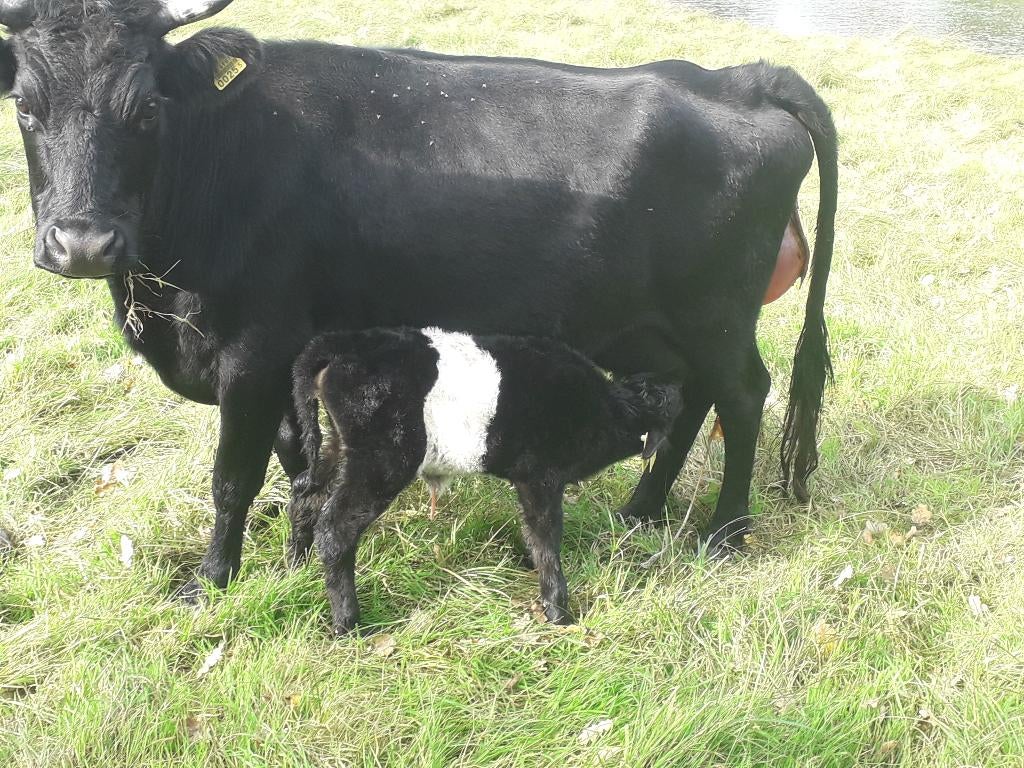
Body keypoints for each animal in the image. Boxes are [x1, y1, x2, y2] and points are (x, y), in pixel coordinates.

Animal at [0, 0, 837, 600]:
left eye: (144, 106)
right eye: (26, 106)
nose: (83, 243)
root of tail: (738, 76)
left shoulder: (254, 350)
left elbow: (233, 476)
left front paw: (211, 582)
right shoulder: (292, 355)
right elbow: (297, 457)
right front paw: (297, 556)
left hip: (716, 313)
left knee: (743, 395)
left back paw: (724, 532)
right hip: (656, 325)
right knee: (689, 399)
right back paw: (641, 510)